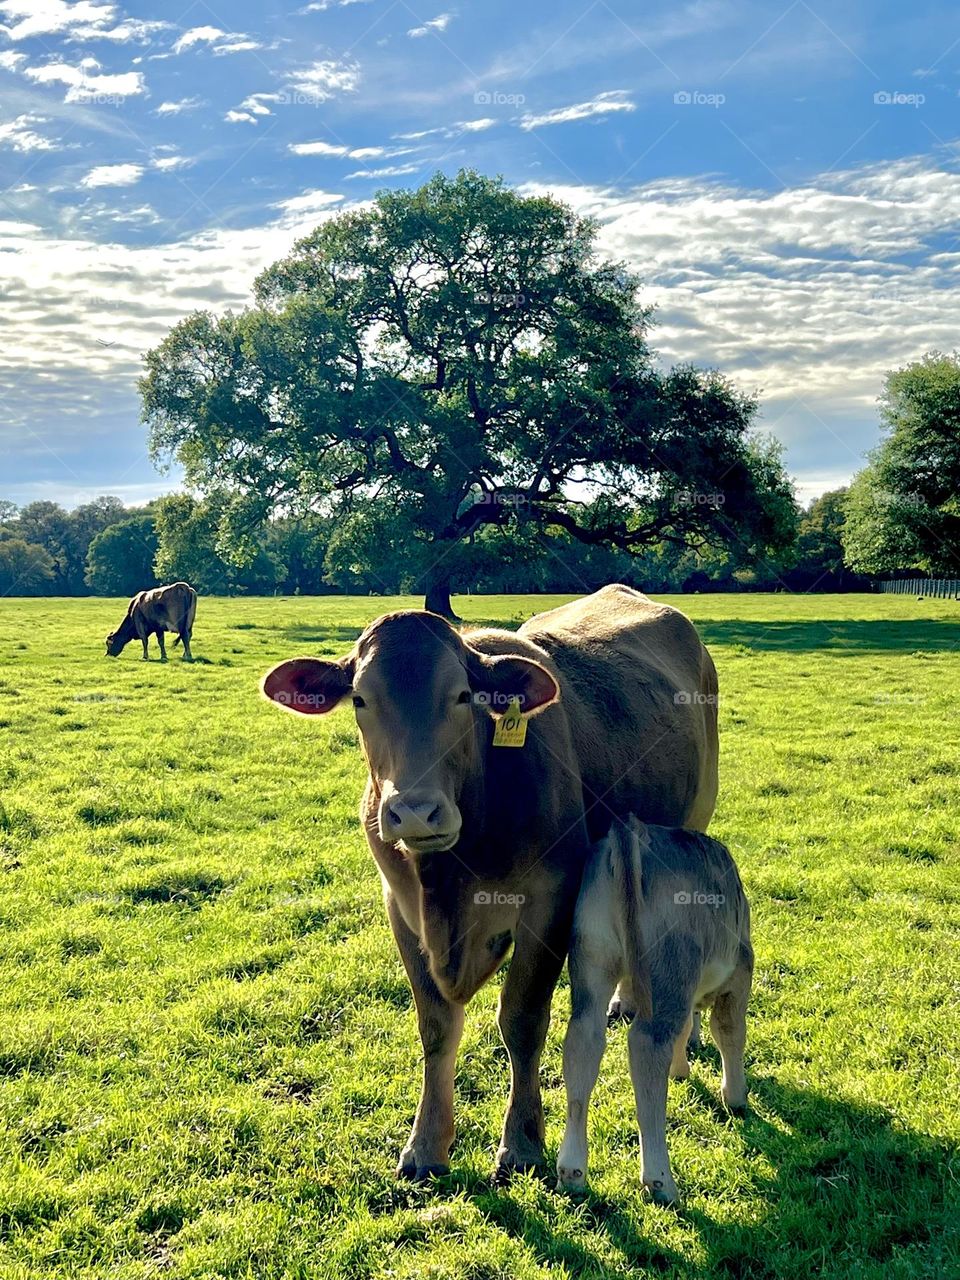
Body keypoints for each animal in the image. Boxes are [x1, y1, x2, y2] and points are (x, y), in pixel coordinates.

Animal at [259, 583, 716, 1177]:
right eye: (360, 700)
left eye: (462, 697)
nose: (414, 813)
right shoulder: (399, 906)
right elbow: (436, 1025)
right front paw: (426, 1145)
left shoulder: (550, 899)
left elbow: (522, 1019)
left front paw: (522, 1140)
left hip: (697, 814)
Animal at [560, 814, 757, 1203]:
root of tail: (631, 830)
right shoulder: (739, 974)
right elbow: (730, 1034)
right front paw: (735, 1097)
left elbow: (686, 1030)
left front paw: (680, 1071)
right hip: (668, 971)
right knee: (647, 1047)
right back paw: (660, 1179)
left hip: (592, 961)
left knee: (583, 1042)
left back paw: (571, 1170)